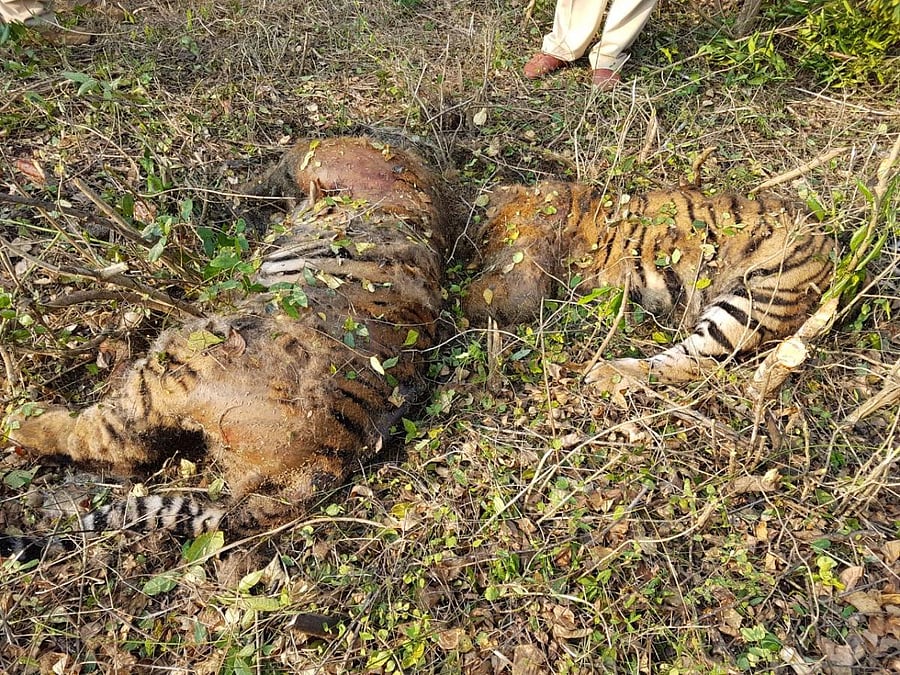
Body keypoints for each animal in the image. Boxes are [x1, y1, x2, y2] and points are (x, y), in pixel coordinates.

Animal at [463, 180, 835, 390]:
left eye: (483, 236)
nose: (472, 250)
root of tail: (830, 245)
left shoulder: (523, 278)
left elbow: (480, 297)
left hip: (748, 301)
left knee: (695, 363)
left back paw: (602, 373)